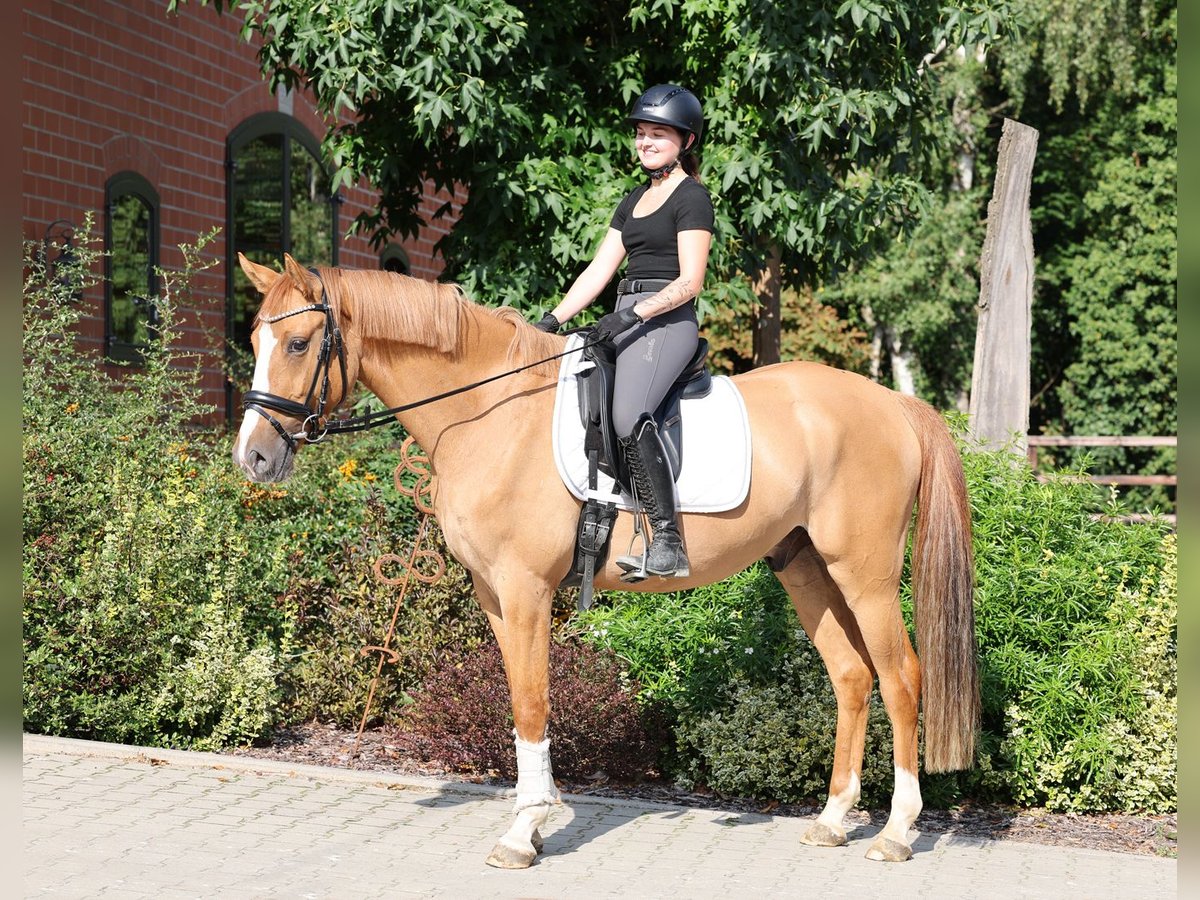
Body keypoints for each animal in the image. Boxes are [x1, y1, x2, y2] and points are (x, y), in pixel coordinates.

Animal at [231, 254, 974, 868]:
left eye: (298, 343)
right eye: (256, 343)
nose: (254, 458)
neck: (488, 412)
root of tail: (895, 403)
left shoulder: (526, 590)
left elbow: (532, 702)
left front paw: (522, 833)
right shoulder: (494, 596)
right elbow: (517, 702)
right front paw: (530, 825)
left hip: (865, 573)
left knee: (901, 678)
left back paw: (896, 832)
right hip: (803, 564)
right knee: (851, 676)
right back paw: (833, 820)